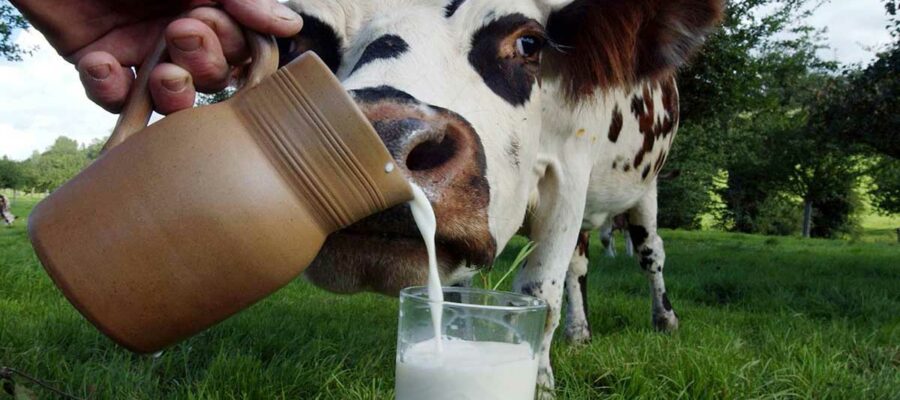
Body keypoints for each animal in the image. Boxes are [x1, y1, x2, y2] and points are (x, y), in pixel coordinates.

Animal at [282, 0, 724, 394]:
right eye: (298, 38)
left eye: (529, 43)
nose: (382, 141)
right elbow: (465, 296)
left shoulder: (569, 176)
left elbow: (540, 293)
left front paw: (541, 384)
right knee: (579, 266)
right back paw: (580, 331)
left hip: (646, 186)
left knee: (651, 254)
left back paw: (664, 319)